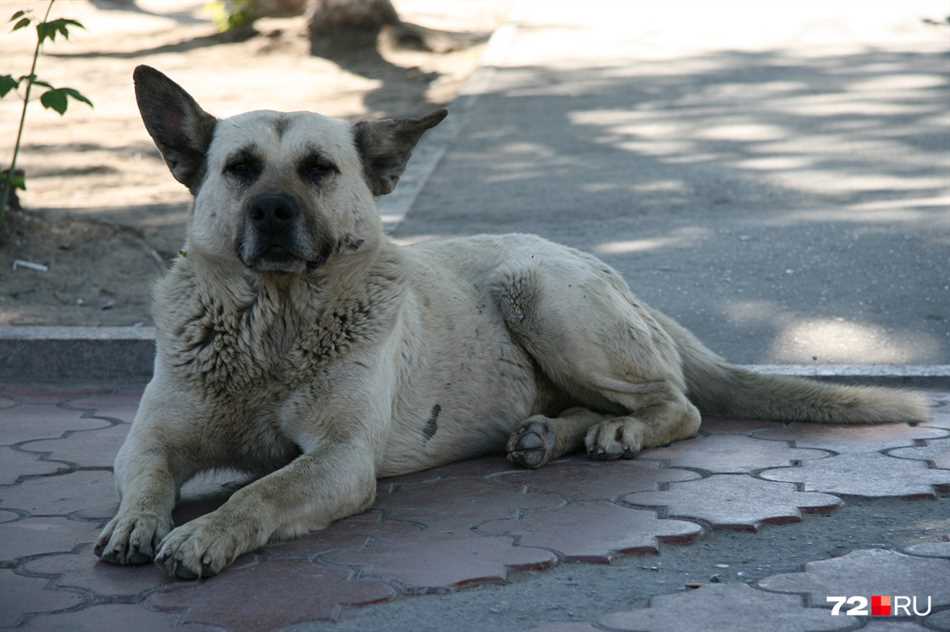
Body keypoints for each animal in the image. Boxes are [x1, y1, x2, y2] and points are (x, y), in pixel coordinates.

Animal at [95, 65, 928, 576]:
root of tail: (603, 267)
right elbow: (146, 479)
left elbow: (256, 494)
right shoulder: (151, 440)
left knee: (680, 405)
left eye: (319, 170)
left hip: (538, 290)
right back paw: (552, 434)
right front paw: (137, 522)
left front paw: (204, 533)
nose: (271, 212)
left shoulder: (339, 460)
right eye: (238, 169)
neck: (272, 322)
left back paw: (616, 432)